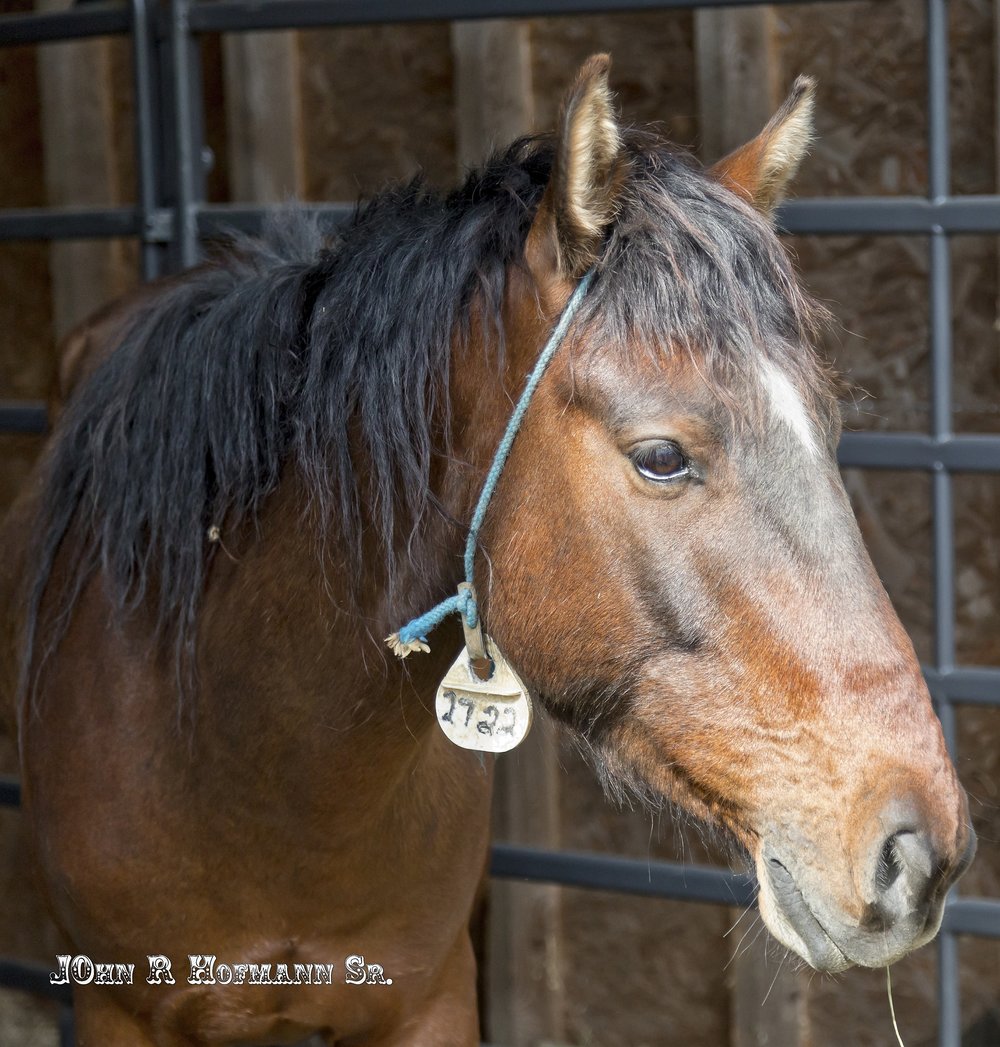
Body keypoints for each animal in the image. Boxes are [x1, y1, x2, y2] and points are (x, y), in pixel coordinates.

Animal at [0, 57, 971, 1047]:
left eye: (827, 429)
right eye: (662, 456)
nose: (918, 851)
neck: (243, 751)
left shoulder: (429, 1000)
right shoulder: (119, 1008)